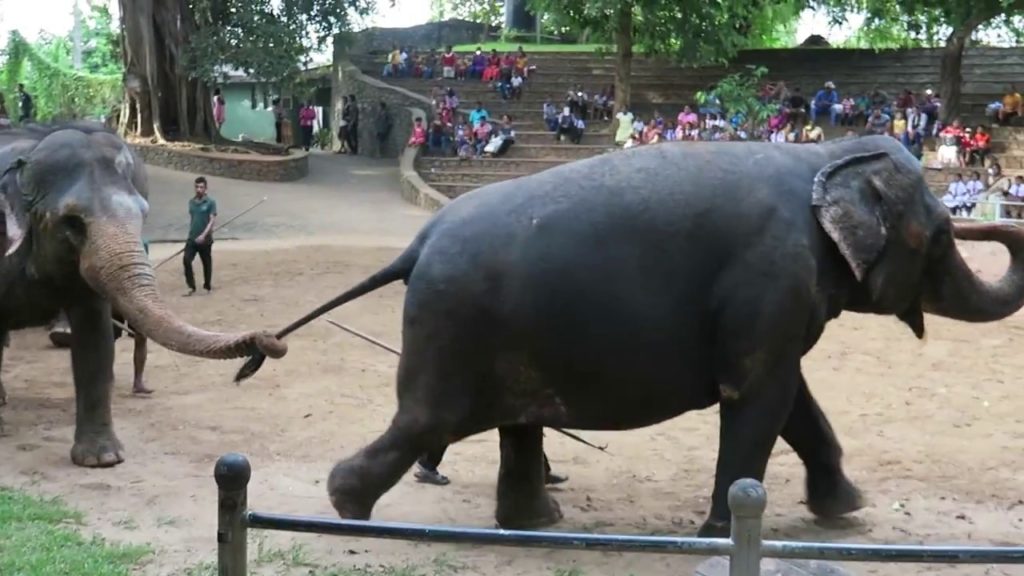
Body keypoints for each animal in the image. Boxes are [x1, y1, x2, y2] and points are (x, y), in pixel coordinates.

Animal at [236, 134, 1024, 537]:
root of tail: (419, 242)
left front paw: (847, 512)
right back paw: (349, 509)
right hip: (454, 325)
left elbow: (793, 398)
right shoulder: (771, 280)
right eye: (944, 235)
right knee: (428, 421)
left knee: (512, 421)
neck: (825, 155)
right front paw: (722, 533)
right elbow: (760, 398)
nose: (987, 221)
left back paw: (533, 523)